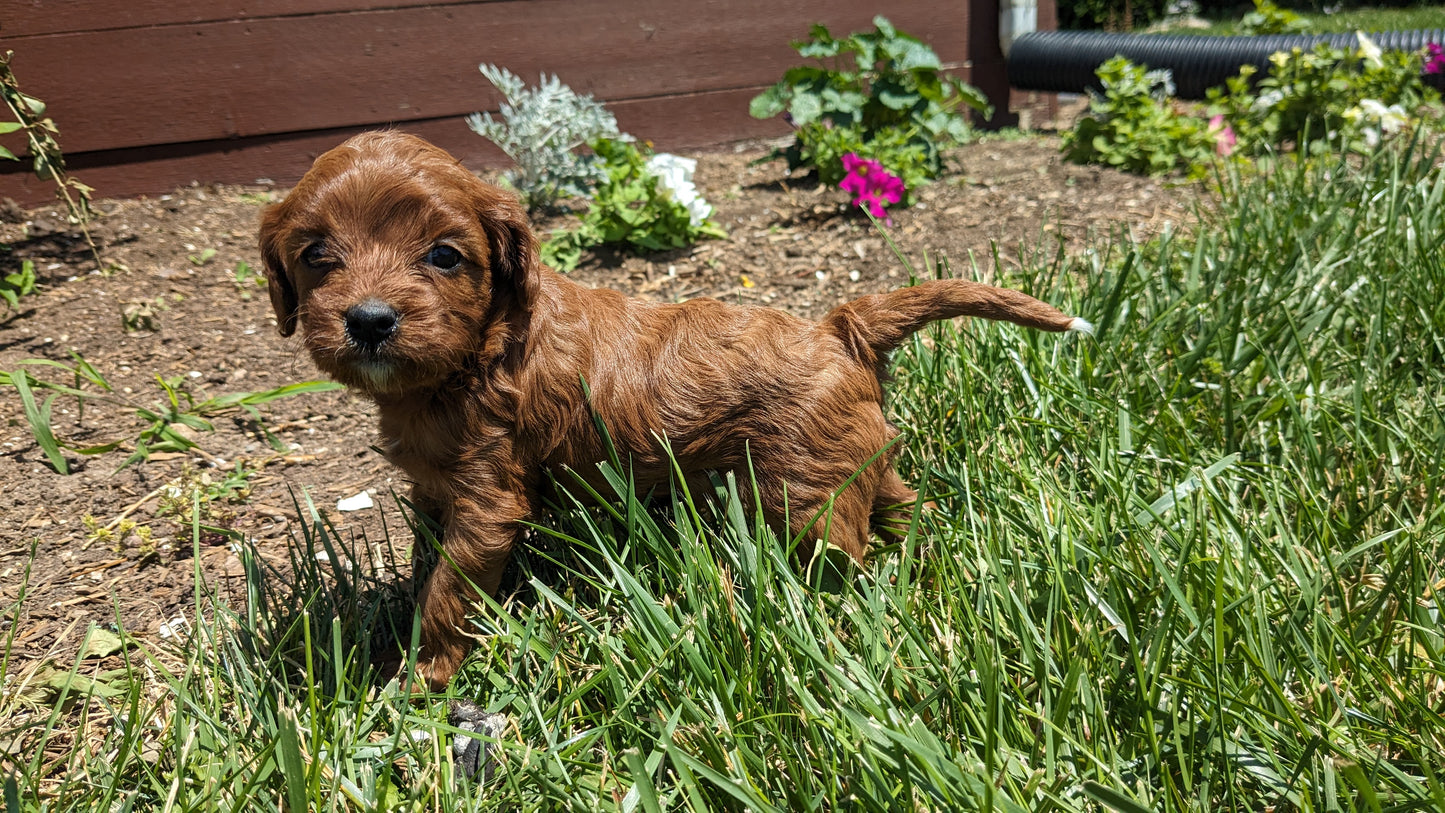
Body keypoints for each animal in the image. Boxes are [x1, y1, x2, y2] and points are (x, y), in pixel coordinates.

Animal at [262, 130, 1092, 690]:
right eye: (315, 255)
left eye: (443, 255)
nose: (369, 320)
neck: (475, 352)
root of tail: (837, 326)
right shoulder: (435, 490)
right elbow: (423, 566)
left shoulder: (487, 495)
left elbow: (446, 591)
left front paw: (423, 676)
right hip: (852, 455)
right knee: (902, 500)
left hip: (807, 496)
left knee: (840, 559)